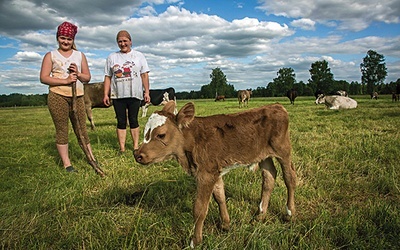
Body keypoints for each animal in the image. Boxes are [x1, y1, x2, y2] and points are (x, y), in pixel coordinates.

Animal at [133, 100, 296, 247]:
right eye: (145, 132)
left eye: (161, 135)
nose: (138, 155)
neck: (192, 141)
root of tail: (276, 106)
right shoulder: (214, 171)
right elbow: (220, 197)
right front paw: (225, 224)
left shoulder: (206, 175)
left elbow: (199, 208)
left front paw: (195, 241)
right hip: (264, 155)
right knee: (269, 178)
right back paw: (261, 214)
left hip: (283, 150)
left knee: (289, 178)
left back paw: (289, 213)